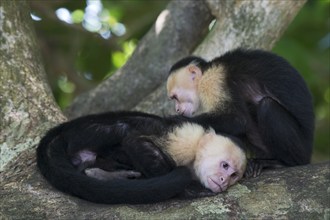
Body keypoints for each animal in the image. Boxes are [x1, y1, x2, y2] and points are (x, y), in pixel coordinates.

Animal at [37, 111, 246, 205]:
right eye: (225, 166)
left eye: (234, 175)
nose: (224, 180)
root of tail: (66, 129)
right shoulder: (185, 139)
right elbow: (134, 141)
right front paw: (188, 190)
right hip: (83, 135)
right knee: (123, 130)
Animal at [168, 48, 314, 177]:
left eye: (175, 97)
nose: (177, 109)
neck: (205, 73)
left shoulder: (213, 80)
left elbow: (237, 119)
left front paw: (173, 119)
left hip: (302, 148)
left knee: (267, 106)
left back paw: (284, 163)